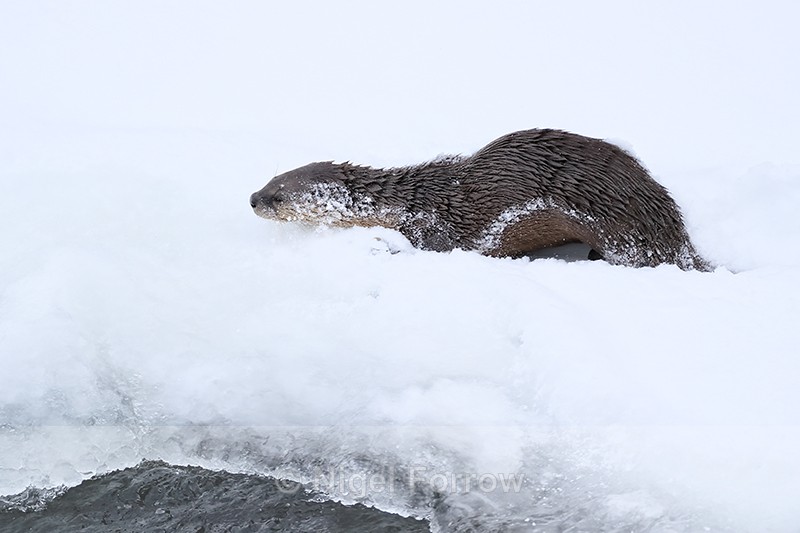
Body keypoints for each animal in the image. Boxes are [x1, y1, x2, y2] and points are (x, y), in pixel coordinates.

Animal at [250, 129, 709, 270]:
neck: (406, 201)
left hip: (622, 233)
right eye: (270, 179)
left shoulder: (431, 226)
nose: (253, 198)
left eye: (278, 194)